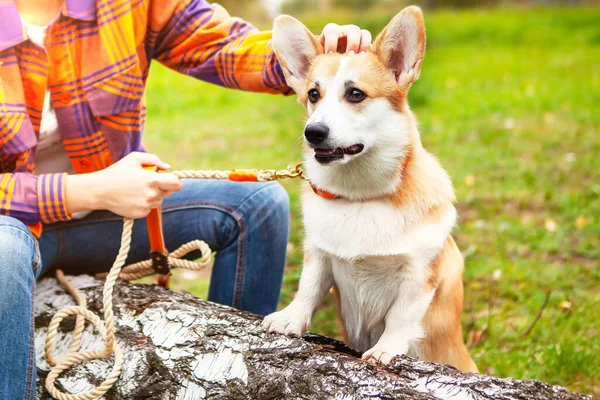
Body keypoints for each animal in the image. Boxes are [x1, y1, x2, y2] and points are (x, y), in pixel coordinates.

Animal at [262, 5, 478, 372]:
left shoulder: (419, 274)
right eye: (313, 95)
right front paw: (290, 318)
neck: (360, 194)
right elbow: (308, 288)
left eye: (355, 94)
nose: (313, 132)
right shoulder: (319, 255)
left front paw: (385, 349)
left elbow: (401, 317)